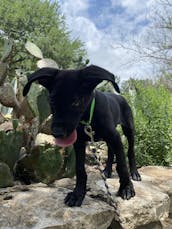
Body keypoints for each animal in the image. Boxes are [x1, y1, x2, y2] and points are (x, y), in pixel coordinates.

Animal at [23, 65, 141, 208]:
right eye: (51, 100)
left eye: (76, 102)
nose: (57, 133)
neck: (88, 117)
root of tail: (121, 97)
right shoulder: (79, 143)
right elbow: (80, 169)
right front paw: (78, 193)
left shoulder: (115, 136)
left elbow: (122, 165)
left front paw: (126, 188)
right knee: (110, 152)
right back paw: (106, 170)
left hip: (128, 130)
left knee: (130, 151)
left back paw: (134, 173)